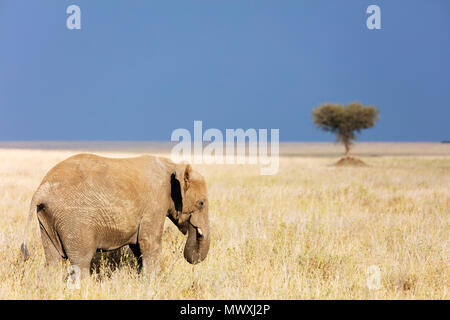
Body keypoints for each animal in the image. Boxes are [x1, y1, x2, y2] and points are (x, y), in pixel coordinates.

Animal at [20, 153, 210, 278]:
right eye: (201, 203)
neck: (173, 165)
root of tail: (41, 190)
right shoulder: (155, 204)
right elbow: (149, 243)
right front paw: (153, 283)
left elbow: (138, 246)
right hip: (73, 219)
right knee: (81, 261)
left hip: (47, 217)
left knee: (54, 261)